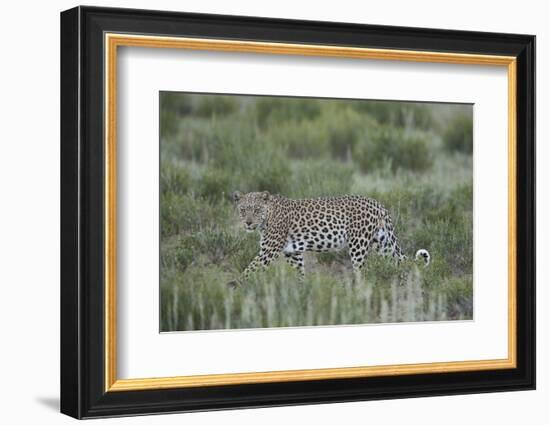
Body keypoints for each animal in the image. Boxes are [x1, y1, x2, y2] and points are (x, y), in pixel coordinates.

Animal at [232, 190, 432, 284]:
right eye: (243, 210)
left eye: (256, 210)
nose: (248, 223)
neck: (268, 216)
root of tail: (377, 204)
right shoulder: (292, 253)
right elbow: (299, 273)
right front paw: (301, 290)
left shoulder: (269, 251)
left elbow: (250, 269)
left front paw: (234, 287)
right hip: (382, 243)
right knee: (399, 264)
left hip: (358, 245)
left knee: (362, 272)